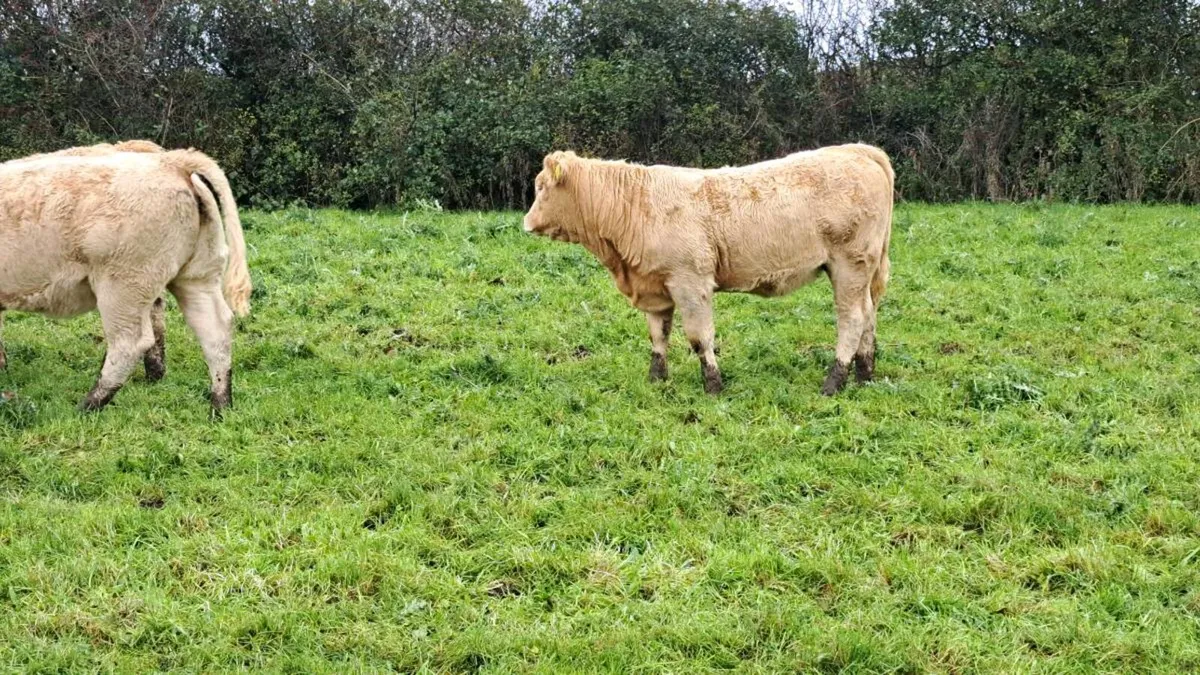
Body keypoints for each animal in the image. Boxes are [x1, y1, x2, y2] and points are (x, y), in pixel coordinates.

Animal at [522, 143, 893, 396]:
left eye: (540, 188)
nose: (526, 223)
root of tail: (857, 150)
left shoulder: (691, 282)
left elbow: (700, 338)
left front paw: (713, 384)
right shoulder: (655, 286)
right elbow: (658, 335)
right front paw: (656, 379)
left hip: (850, 264)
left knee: (852, 319)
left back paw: (835, 381)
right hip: (862, 271)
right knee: (869, 315)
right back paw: (865, 374)